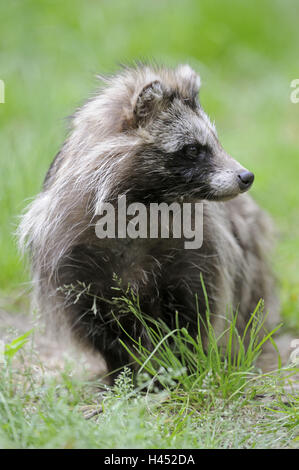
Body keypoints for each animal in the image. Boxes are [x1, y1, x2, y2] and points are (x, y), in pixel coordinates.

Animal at [19, 63, 280, 382]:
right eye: (193, 149)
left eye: (216, 141)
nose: (246, 176)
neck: (143, 208)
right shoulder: (72, 255)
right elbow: (99, 325)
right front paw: (122, 371)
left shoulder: (199, 249)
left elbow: (192, 313)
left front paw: (180, 364)